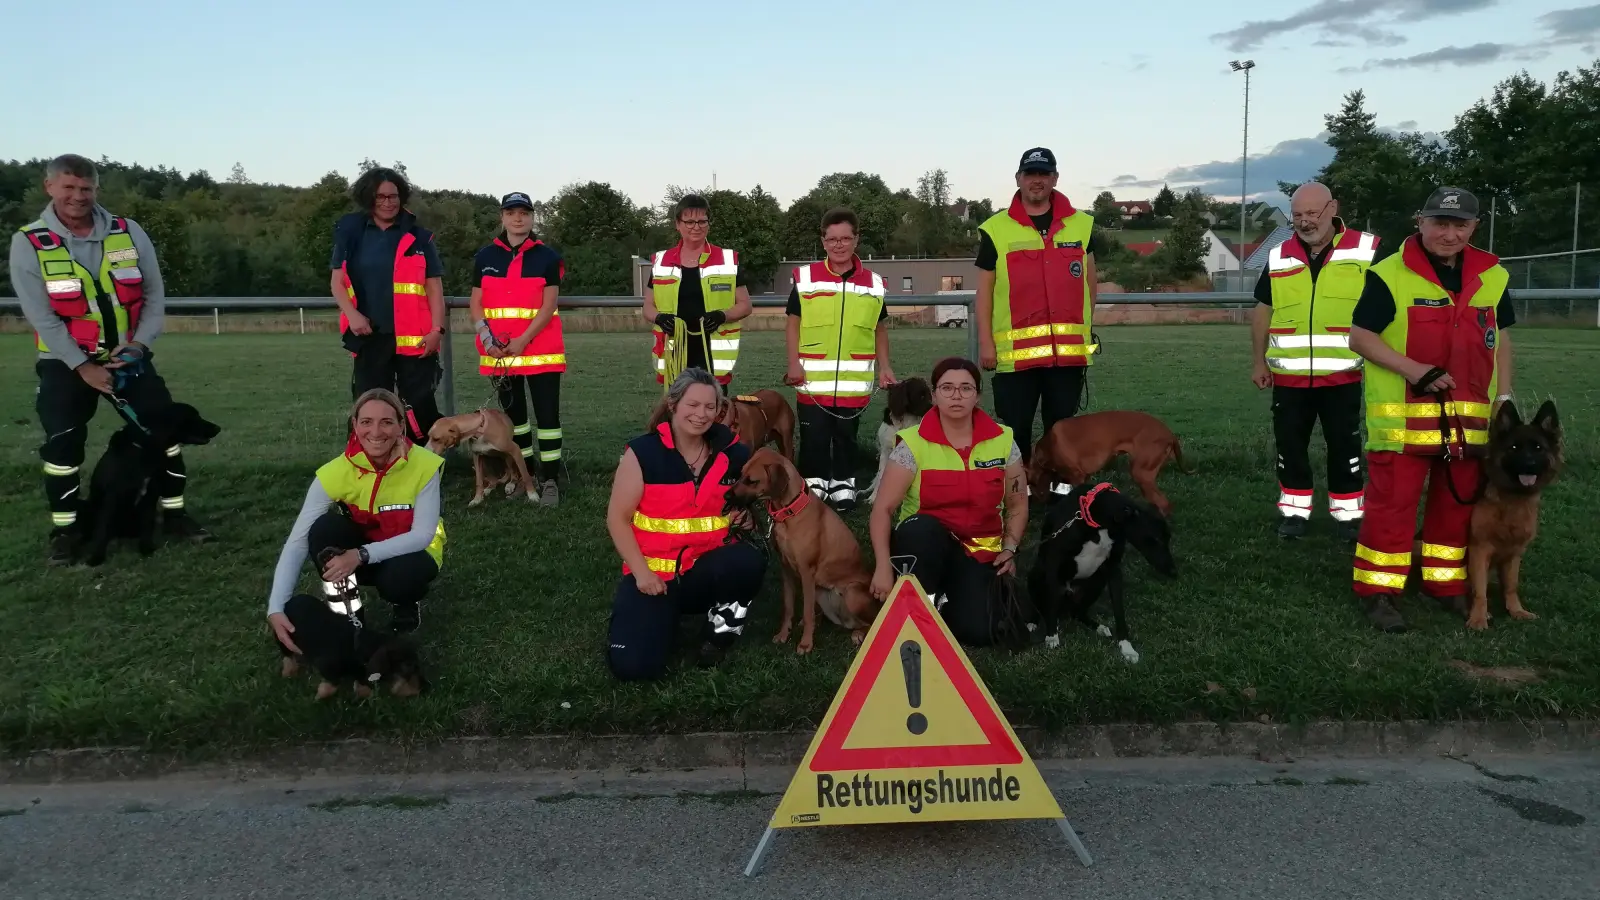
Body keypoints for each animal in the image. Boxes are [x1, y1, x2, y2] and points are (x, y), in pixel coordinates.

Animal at [729, 445, 883, 646]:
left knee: (871, 621)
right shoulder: (786, 568)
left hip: (851, 593)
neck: (790, 512)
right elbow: (788, 607)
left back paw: (859, 633)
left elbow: (807, 611)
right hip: (821, 592)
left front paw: (805, 644)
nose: (725, 496)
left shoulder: (806, 571)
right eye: (740, 475)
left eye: (752, 481)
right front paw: (784, 634)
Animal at [1024, 480, 1177, 662]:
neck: (1097, 518)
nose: (1174, 571)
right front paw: (1051, 636)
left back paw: (1098, 627)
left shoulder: (1113, 568)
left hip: (1096, 580)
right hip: (1037, 574)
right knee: (1041, 605)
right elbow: (1051, 605)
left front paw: (1127, 647)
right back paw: (1034, 621)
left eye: (1167, 538)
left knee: (1078, 612)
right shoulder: (1054, 564)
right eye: (1156, 539)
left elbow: (1119, 611)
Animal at [1030, 409, 1196, 515]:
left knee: (1165, 504)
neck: (1048, 445)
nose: (1037, 501)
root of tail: (1169, 433)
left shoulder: (1077, 476)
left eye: (1032, 483)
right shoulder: (1084, 476)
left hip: (1140, 473)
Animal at [1465, 398, 1568, 630]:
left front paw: (1516, 611)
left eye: (1538, 448)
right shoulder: (1479, 549)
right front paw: (1478, 618)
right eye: (1513, 447)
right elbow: (1480, 591)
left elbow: (1511, 586)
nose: (1529, 465)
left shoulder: (1514, 553)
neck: (1511, 501)